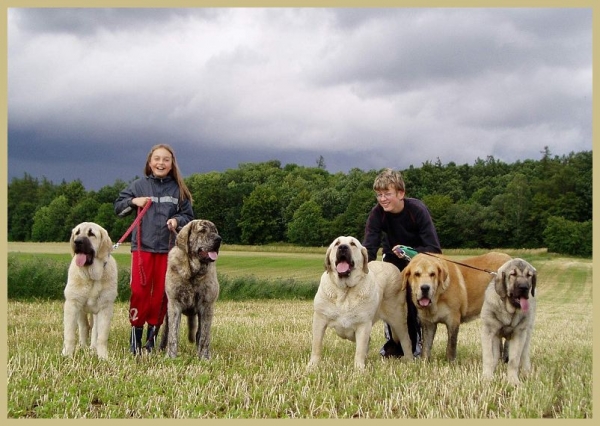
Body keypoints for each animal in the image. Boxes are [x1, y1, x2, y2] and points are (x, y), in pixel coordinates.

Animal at [62, 223, 118, 360]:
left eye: (91, 234)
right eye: (77, 233)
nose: (77, 242)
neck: (91, 277)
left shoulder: (105, 308)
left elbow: (101, 336)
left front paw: (103, 357)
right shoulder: (72, 305)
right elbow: (70, 335)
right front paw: (66, 355)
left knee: (94, 330)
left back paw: (93, 348)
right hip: (81, 311)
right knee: (84, 327)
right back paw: (83, 347)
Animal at [161, 220, 221, 360]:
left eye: (215, 231)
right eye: (202, 231)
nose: (219, 239)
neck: (193, 272)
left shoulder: (207, 306)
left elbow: (204, 336)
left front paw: (204, 358)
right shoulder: (174, 305)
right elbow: (173, 334)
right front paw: (171, 356)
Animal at [310, 236, 412, 370]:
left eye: (353, 244)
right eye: (337, 243)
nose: (343, 247)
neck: (345, 291)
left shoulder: (363, 325)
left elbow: (360, 349)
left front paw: (359, 369)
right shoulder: (319, 319)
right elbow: (316, 345)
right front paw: (312, 366)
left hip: (397, 318)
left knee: (405, 339)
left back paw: (410, 360)